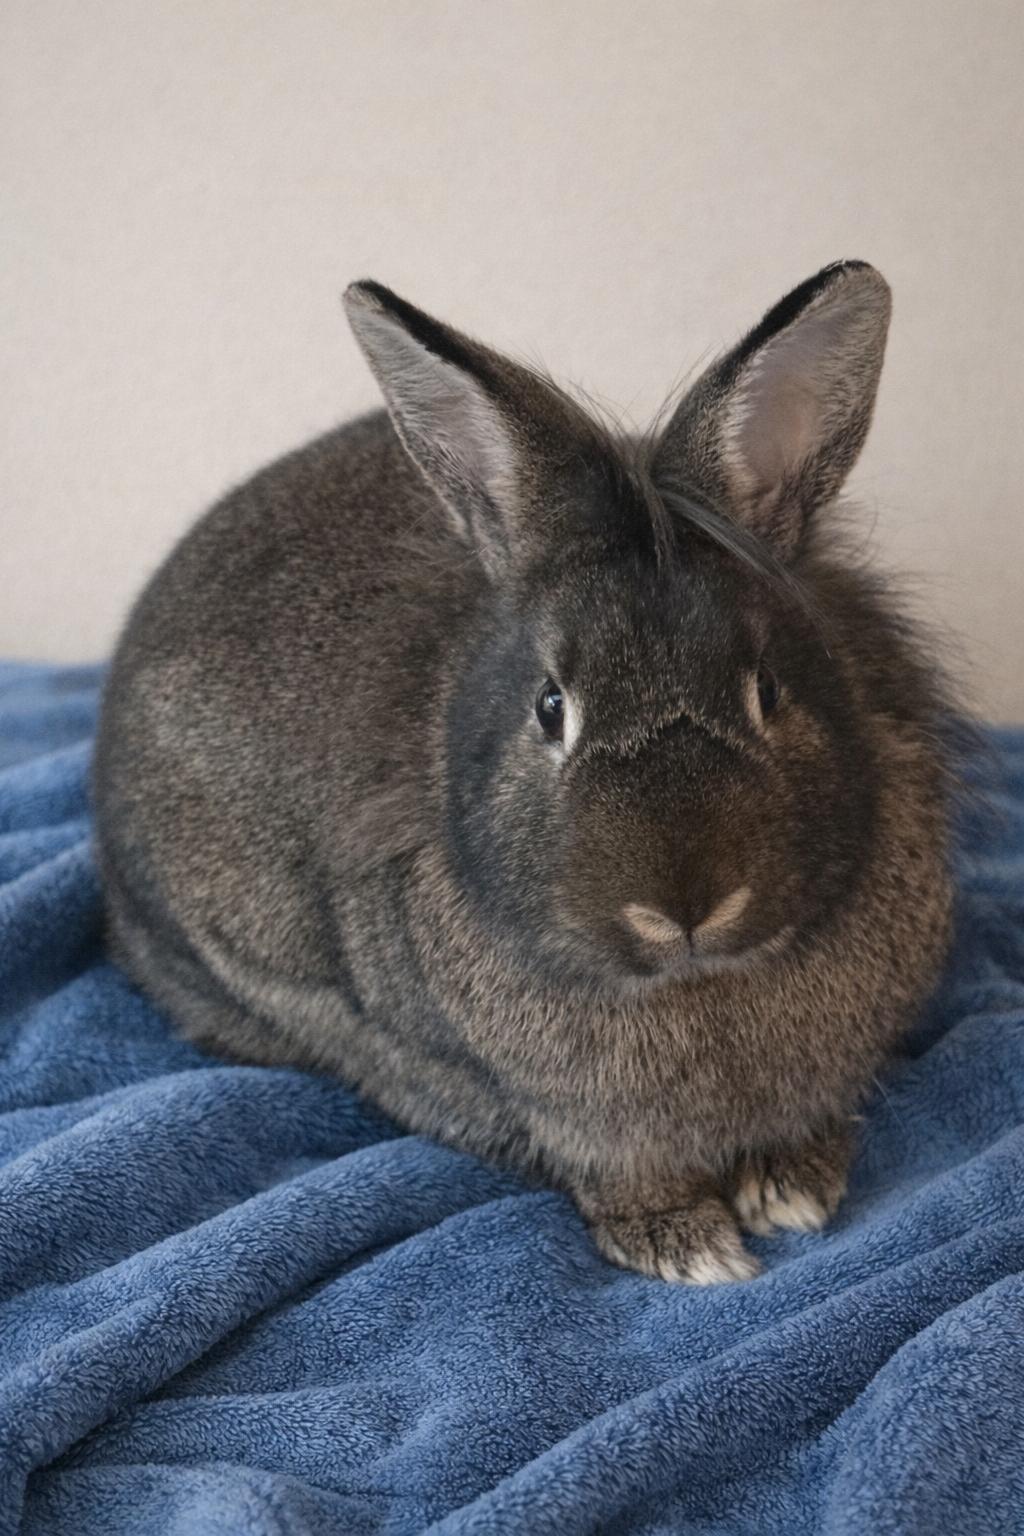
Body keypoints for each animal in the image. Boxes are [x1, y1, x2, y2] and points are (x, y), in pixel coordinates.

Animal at [94, 261, 959, 1284]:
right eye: (551, 707)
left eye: (768, 689)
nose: (684, 908)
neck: (694, 983)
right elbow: (606, 1161)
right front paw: (685, 1242)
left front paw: (792, 1188)